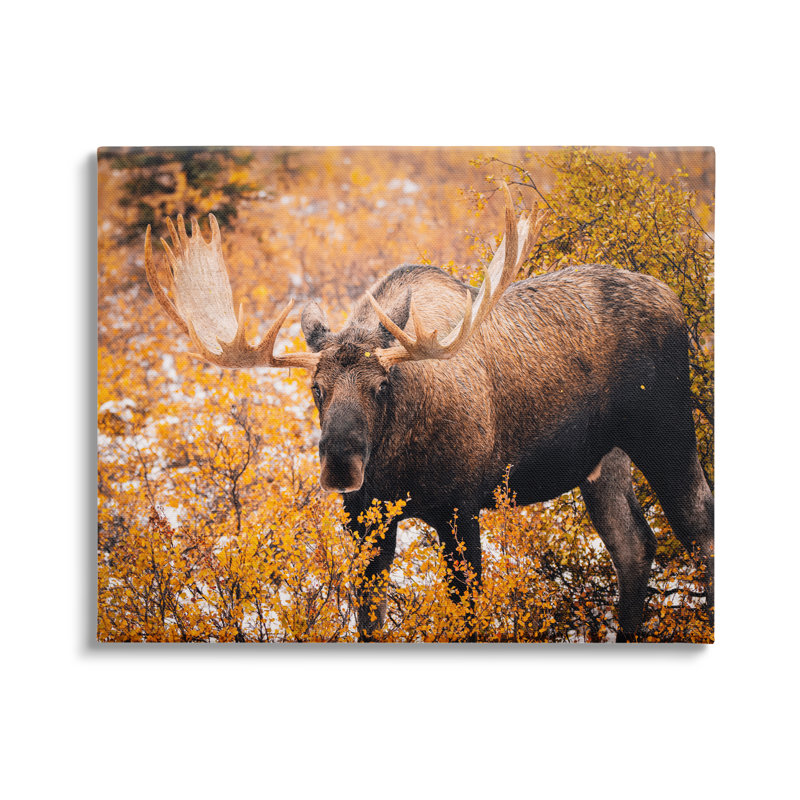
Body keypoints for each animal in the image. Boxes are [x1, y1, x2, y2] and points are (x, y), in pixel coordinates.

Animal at [144, 184, 714, 642]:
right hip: (601, 461)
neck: (397, 466)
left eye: (381, 385)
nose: (340, 465)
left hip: (666, 428)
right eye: (315, 388)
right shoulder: (364, 523)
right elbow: (369, 624)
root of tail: (675, 298)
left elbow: (469, 617)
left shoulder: (461, 509)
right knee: (634, 546)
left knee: (699, 527)